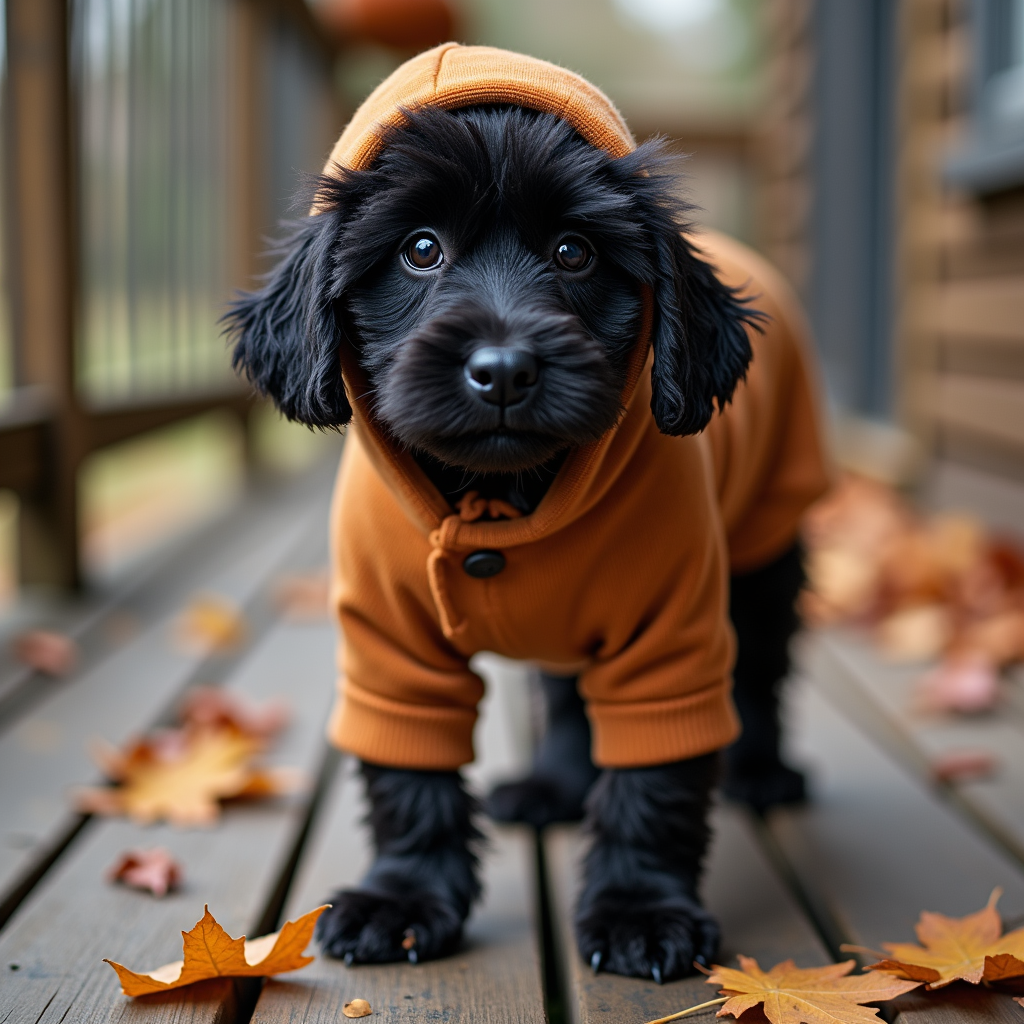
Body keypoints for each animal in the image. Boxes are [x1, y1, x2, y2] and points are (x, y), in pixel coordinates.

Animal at [230, 105, 761, 983]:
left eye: (574, 251)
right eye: (420, 249)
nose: (505, 369)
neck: (500, 500)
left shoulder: (668, 644)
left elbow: (653, 779)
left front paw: (640, 912)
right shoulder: (391, 655)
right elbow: (408, 776)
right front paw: (402, 901)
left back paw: (770, 775)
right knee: (571, 700)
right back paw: (552, 790)